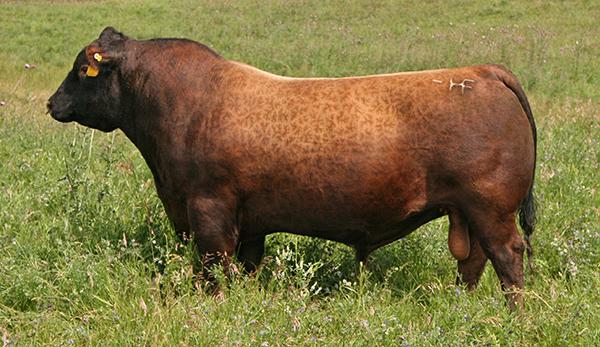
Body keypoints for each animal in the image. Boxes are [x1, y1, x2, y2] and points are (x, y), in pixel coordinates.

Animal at [45, 27, 536, 310]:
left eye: (80, 70)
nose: (51, 103)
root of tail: (482, 70)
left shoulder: (208, 209)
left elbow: (212, 266)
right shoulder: (249, 222)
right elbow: (243, 265)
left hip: (490, 208)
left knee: (507, 256)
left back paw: (513, 315)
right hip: (467, 211)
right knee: (472, 261)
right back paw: (459, 306)